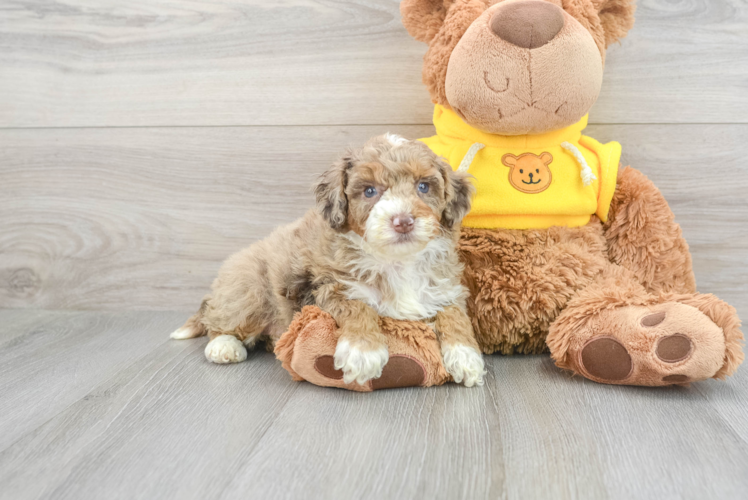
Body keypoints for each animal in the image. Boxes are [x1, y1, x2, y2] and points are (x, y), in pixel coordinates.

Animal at [169, 134, 486, 386]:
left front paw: (466, 356)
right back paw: (224, 347)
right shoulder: (329, 286)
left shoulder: (445, 287)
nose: (403, 221)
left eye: (423, 187)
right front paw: (362, 352)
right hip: (248, 291)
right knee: (220, 323)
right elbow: (358, 306)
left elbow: (454, 314)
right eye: (369, 191)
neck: (396, 262)